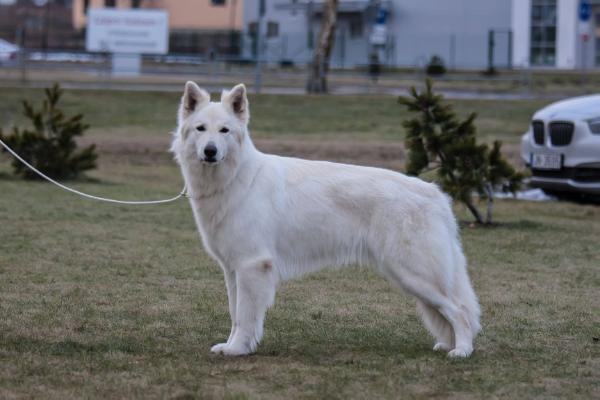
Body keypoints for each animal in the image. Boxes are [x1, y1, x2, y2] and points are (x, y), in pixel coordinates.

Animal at [171, 83, 480, 358]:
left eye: (224, 130)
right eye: (201, 129)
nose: (210, 151)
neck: (237, 178)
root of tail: (435, 194)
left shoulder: (252, 266)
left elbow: (246, 316)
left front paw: (237, 350)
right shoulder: (234, 270)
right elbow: (236, 315)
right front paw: (232, 345)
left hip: (414, 273)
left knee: (460, 311)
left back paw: (462, 351)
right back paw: (450, 345)